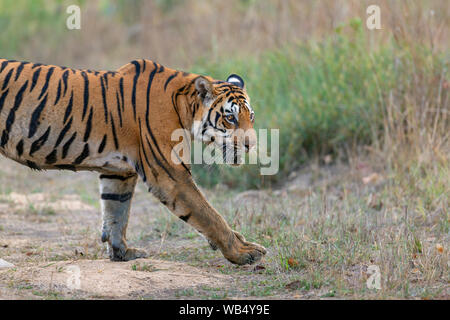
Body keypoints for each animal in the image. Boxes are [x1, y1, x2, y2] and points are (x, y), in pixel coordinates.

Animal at [0, 58, 268, 264]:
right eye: (230, 118)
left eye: (251, 116)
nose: (252, 145)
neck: (183, 105)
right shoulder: (170, 174)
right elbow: (210, 215)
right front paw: (243, 252)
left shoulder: (119, 172)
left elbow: (116, 212)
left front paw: (123, 252)